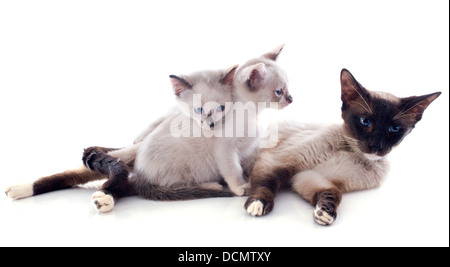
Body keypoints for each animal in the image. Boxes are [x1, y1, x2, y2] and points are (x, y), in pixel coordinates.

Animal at [7, 46, 296, 214]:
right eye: (278, 92)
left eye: (287, 89)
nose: (291, 99)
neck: (250, 114)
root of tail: (142, 170)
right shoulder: (226, 150)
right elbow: (233, 171)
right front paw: (240, 187)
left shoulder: (247, 149)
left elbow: (249, 165)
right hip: (187, 166)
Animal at [244, 68, 442, 226]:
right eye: (365, 122)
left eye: (394, 129)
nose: (376, 146)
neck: (352, 153)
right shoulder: (277, 161)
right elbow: (265, 183)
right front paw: (257, 204)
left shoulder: (309, 177)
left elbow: (333, 193)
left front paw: (325, 213)